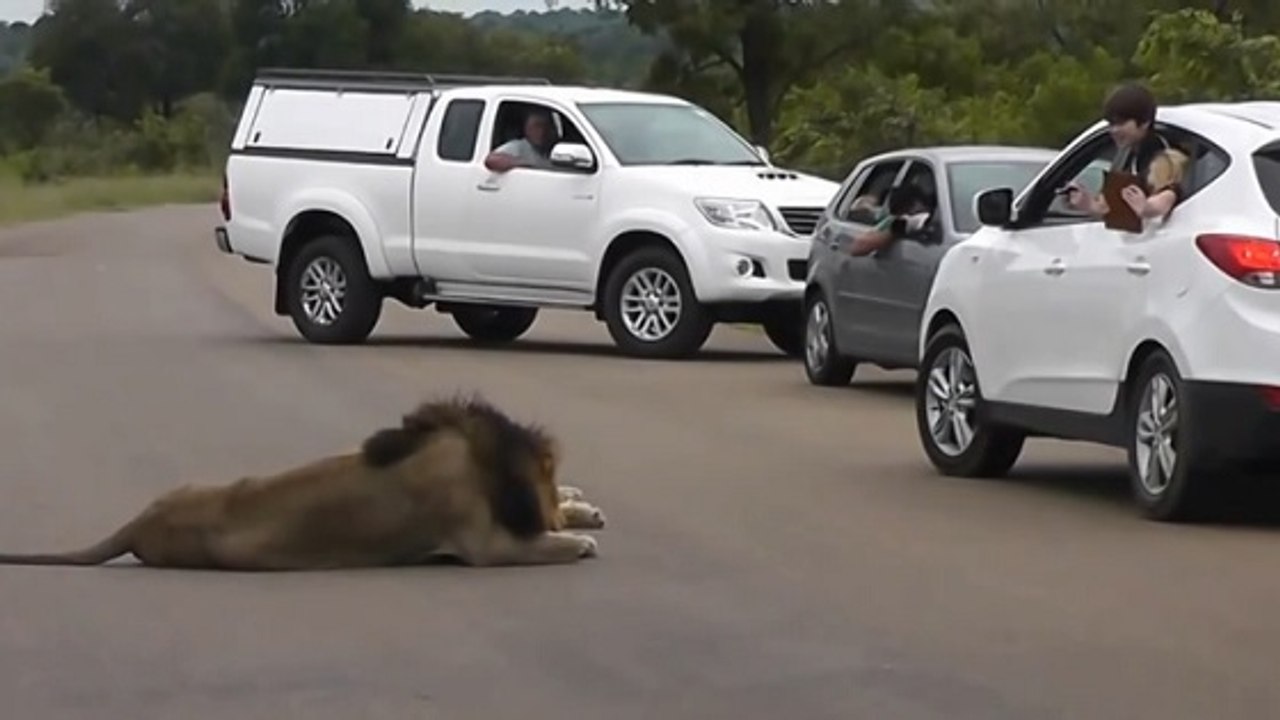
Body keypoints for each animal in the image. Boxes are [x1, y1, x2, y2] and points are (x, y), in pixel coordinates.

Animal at [0, 395, 606, 569]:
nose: (559, 510)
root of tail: (140, 520)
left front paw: (580, 507)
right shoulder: (483, 544)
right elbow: (540, 544)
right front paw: (577, 539)